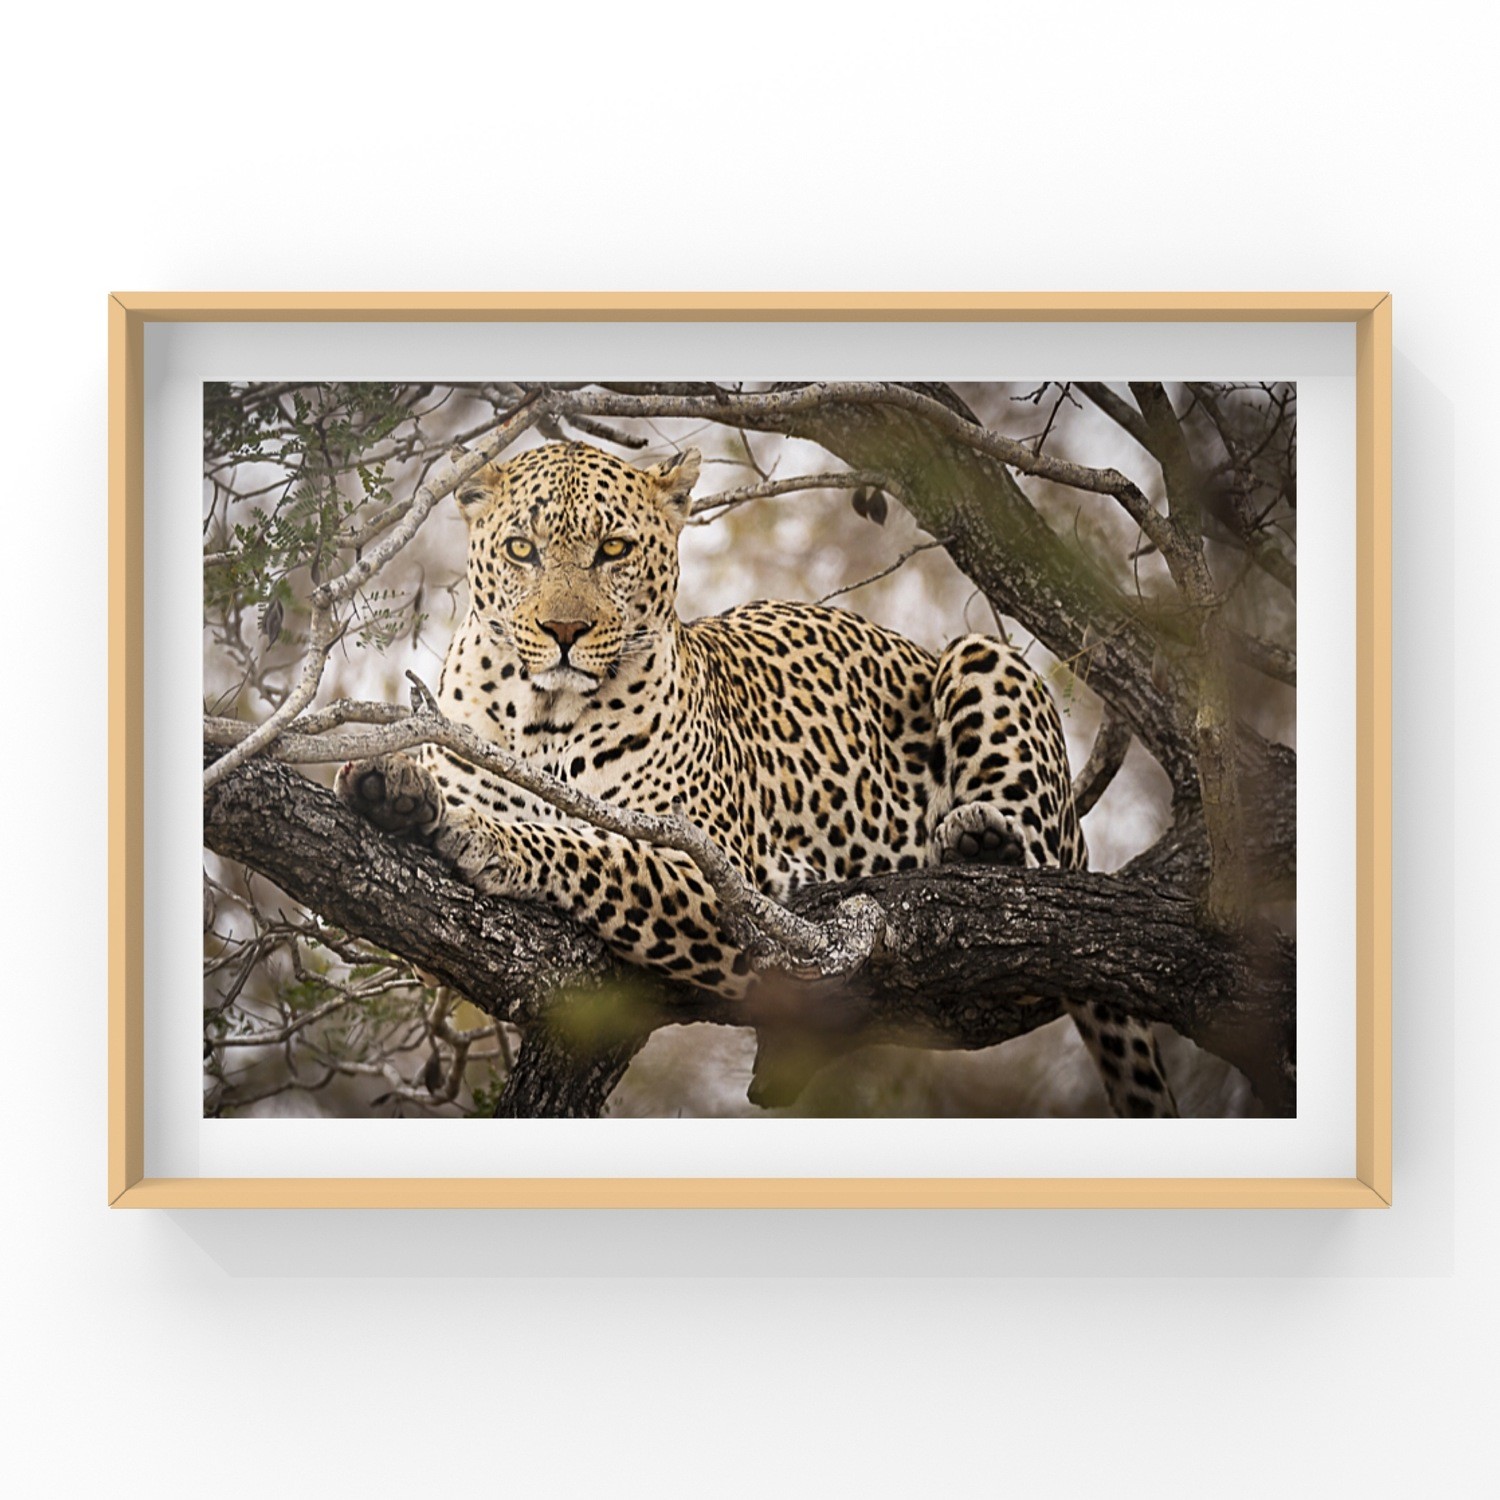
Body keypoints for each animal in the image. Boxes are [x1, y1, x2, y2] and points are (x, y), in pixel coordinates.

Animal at [336, 440, 1177, 1118]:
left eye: (613, 548)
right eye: (520, 548)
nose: (564, 631)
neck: (541, 721)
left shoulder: (711, 874)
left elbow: (593, 849)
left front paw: (488, 836)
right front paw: (391, 786)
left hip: (984, 659)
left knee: (1034, 888)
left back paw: (982, 842)